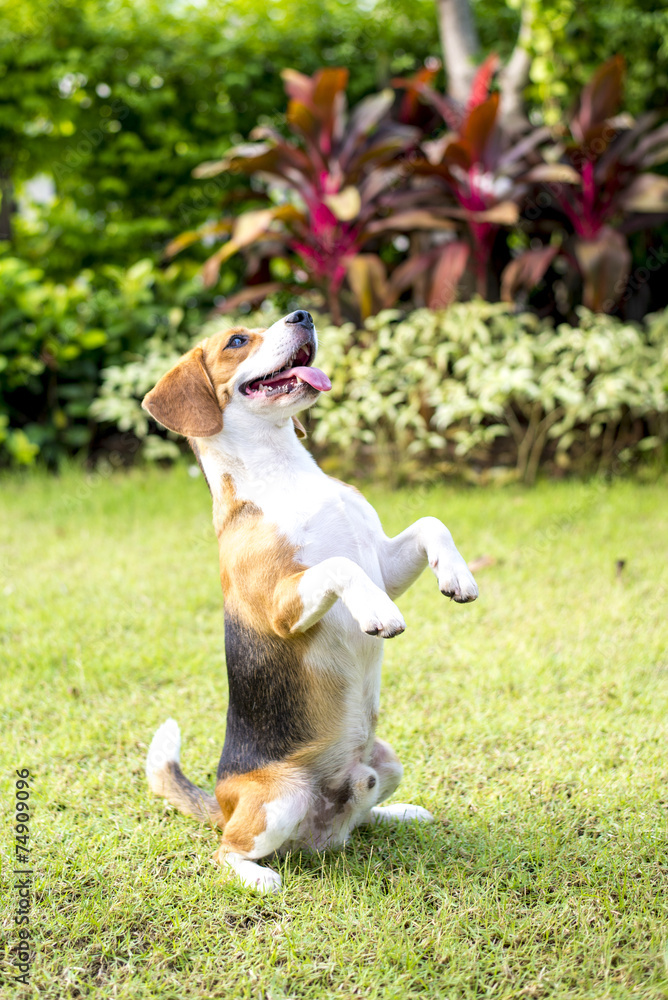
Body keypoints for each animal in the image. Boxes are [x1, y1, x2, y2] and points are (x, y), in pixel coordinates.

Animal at [142, 310, 480, 892]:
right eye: (237, 339)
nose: (302, 315)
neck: (285, 470)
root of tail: (223, 803)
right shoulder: (283, 606)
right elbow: (339, 567)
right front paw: (378, 613)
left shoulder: (385, 564)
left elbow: (430, 523)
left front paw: (456, 573)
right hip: (278, 801)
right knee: (226, 850)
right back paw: (259, 878)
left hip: (387, 761)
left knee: (360, 815)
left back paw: (397, 812)